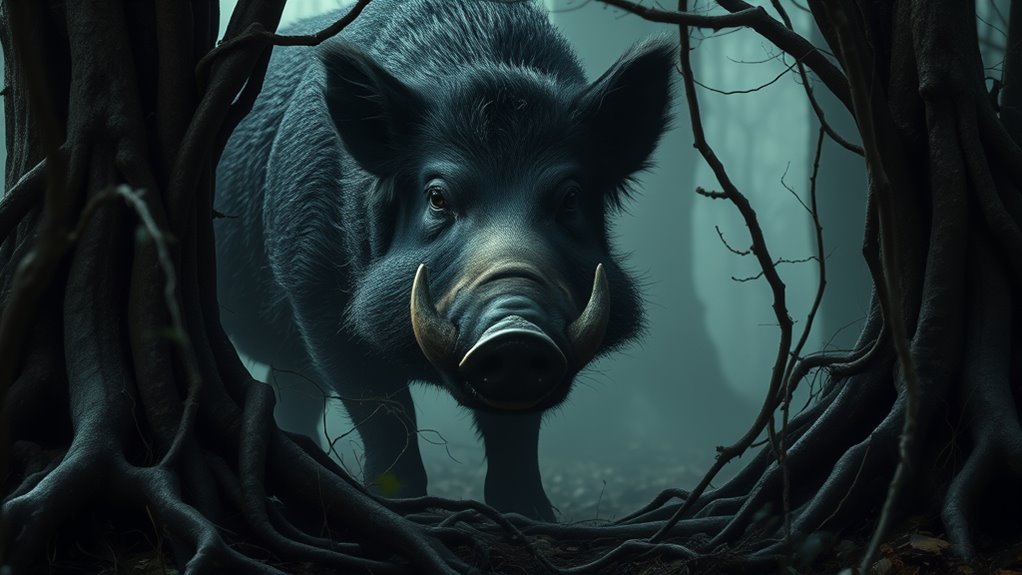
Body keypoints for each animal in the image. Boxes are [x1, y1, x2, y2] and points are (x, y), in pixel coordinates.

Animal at [214, 0, 674, 521]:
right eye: (437, 197)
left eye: (570, 198)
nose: (516, 329)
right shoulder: (316, 298)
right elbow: (386, 421)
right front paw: (398, 506)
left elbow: (514, 441)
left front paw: (532, 516)